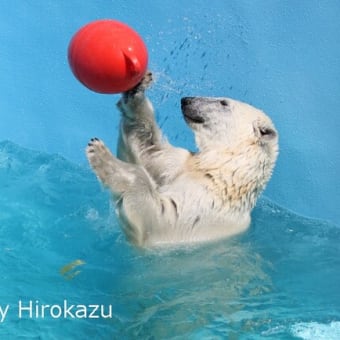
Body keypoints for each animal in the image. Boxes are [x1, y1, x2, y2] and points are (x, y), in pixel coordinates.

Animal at [86, 71, 278, 247]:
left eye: (223, 102)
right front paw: (137, 89)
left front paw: (100, 154)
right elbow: (151, 150)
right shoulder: (181, 164)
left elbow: (160, 217)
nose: (186, 100)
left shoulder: (204, 207)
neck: (222, 172)